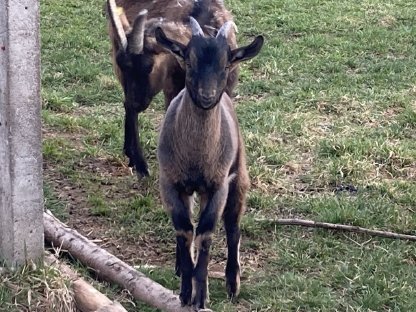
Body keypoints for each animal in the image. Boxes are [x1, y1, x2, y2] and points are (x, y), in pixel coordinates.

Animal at [156, 17, 264, 310]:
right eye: (189, 60)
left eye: (226, 64)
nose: (207, 95)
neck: (196, 159)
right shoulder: (170, 183)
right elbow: (184, 230)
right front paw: (185, 291)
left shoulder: (217, 186)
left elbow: (206, 233)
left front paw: (200, 295)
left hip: (238, 177)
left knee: (233, 226)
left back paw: (232, 282)